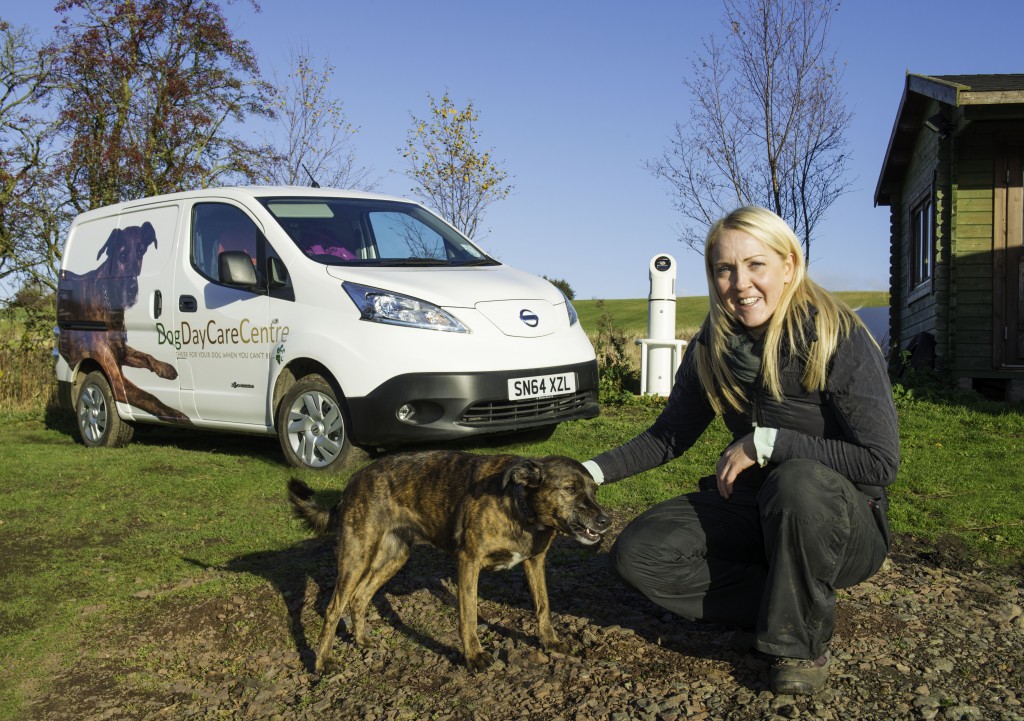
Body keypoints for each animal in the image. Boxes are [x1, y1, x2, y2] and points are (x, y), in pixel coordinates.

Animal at [288, 450, 606, 671]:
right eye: (570, 489)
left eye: (594, 490)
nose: (605, 521)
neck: (519, 505)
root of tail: (352, 482)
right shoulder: (468, 563)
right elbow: (468, 615)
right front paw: (474, 656)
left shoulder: (535, 562)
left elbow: (543, 606)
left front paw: (550, 641)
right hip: (357, 556)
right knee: (333, 608)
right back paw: (321, 663)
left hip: (394, 556)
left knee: (360, 598)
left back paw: (362, 640)